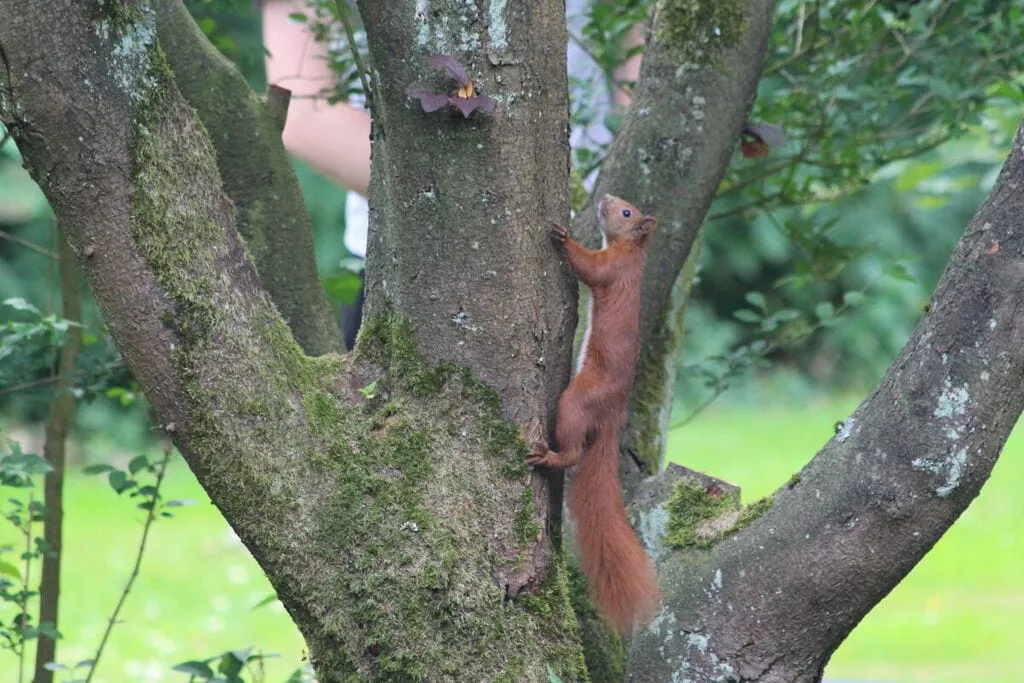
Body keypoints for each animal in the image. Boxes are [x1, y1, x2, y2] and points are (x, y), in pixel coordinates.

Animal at [532, 194, 659, 634]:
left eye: (626, 212)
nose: (604, 198)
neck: (633, 254)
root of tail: (610, 414)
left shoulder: (611, 270)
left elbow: (589, 267)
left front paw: (563, 235)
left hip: (575, 401)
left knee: (572, 450)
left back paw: (550, 456)